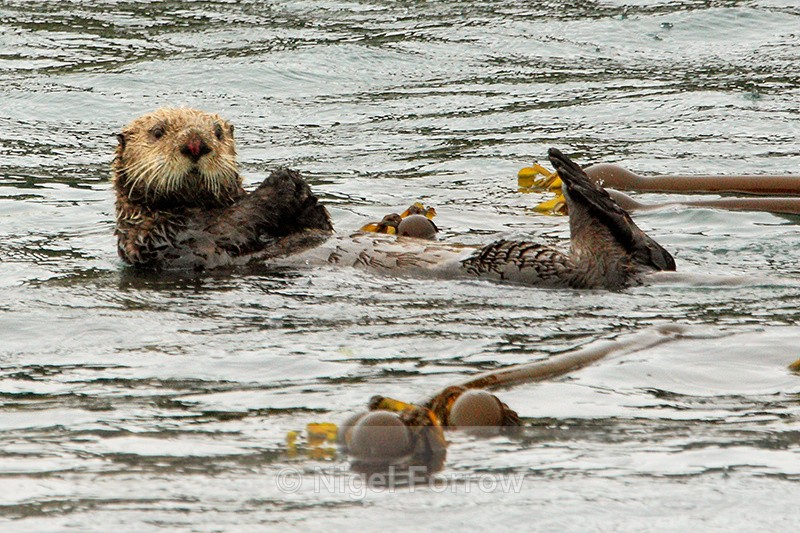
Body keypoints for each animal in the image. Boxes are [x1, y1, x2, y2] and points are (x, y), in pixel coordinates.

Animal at [113, 108, 675, 288]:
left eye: (216, 131)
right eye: (160, 131)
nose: (196, 145)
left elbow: (314, 223)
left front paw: (299, 189)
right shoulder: (174, 241)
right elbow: (228, 228)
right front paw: (284, 180)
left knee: (653, 254)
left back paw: (577, 176)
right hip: (517, 263)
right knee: (601, 262)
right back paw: (575, 181)